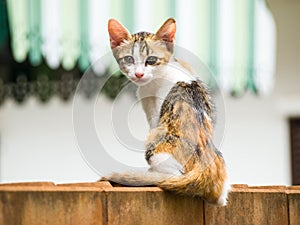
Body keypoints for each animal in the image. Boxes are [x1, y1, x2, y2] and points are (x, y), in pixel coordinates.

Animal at [102, 17, 231, 204]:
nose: (139, 74)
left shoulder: (154, 113)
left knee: (173, 176)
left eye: (151, 60)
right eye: (128, 59)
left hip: (156, 143)